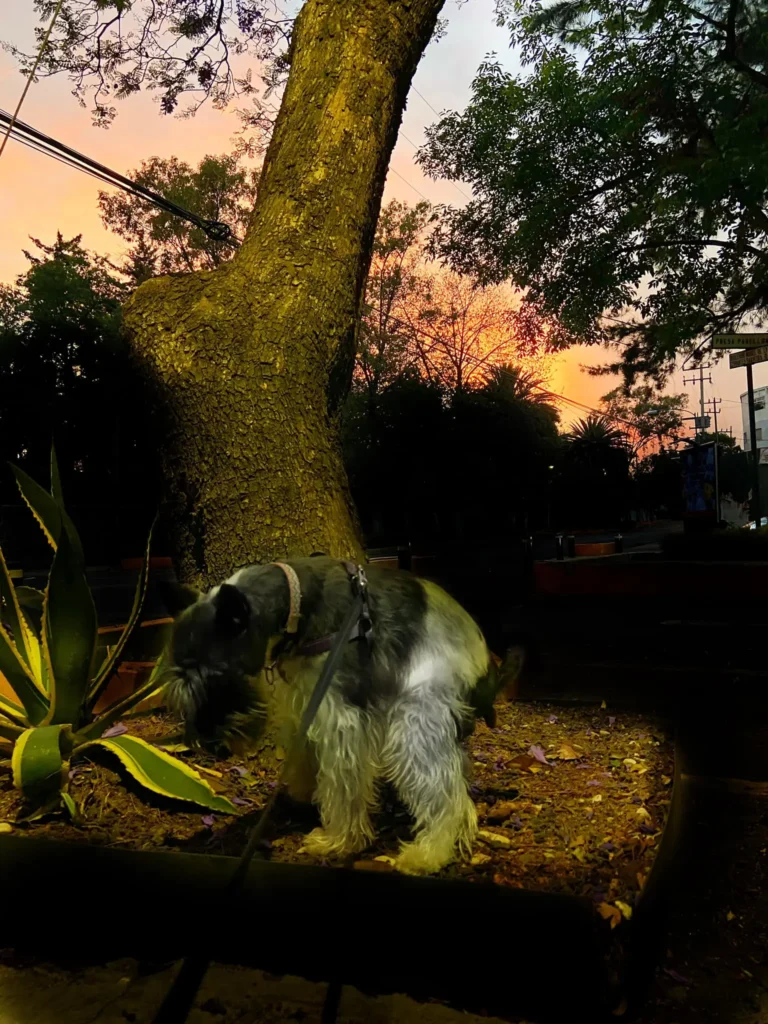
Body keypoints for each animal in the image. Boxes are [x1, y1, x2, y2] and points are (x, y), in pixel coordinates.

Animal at [162, 557, 501, 876]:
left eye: (217, 677)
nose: (206, 744)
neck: (298, 600)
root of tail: (482, 658)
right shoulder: (306, 696)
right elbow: (305, 751)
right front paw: (302, 790)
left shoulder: (342, 718)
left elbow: (342, 786)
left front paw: (338, 841)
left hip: (415, 723)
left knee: (444, 793)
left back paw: (429, 853)